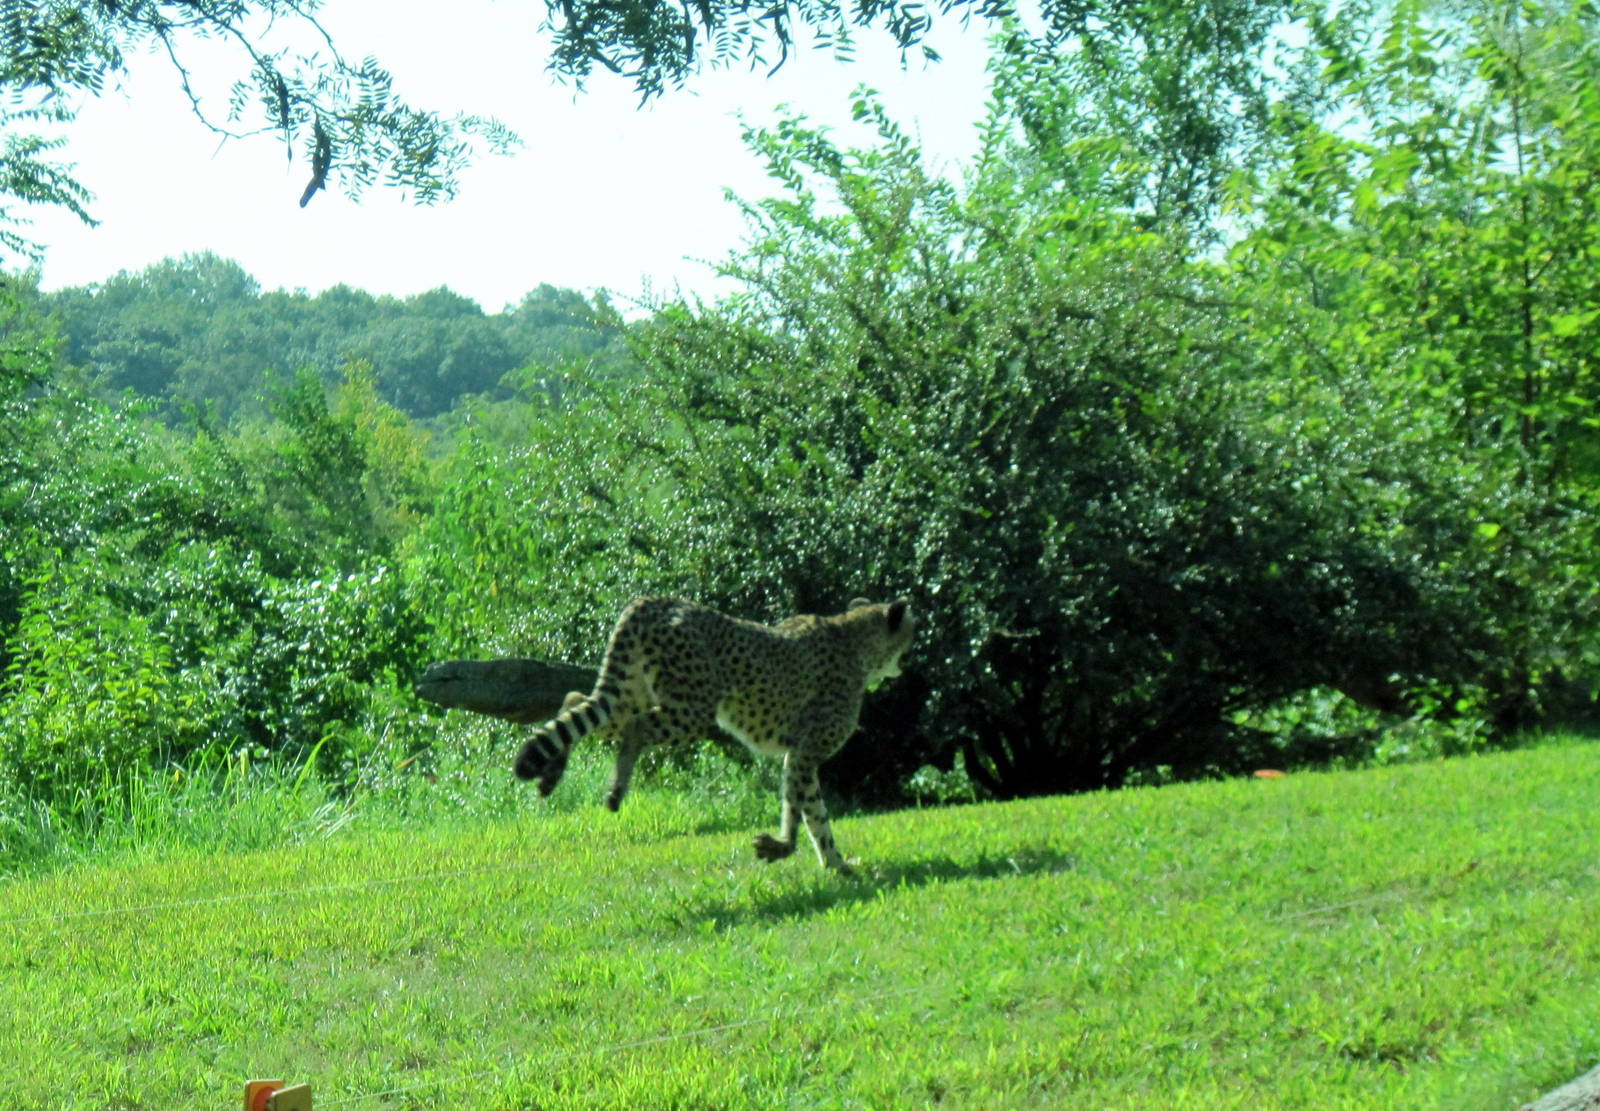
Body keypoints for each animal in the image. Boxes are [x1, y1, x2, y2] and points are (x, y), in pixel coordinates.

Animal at [513, 595, 915, 874]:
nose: (908, 660)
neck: (854, 639)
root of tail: (654, 601)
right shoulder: (805, 751)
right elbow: (801, 806)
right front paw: (785, 846)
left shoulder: (798, 753)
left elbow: (813, 811)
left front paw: (835, 864)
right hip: (694, 708)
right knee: (636, 726)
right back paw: (614, 790)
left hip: (631, 692)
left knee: (576, 700)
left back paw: (552, 776)